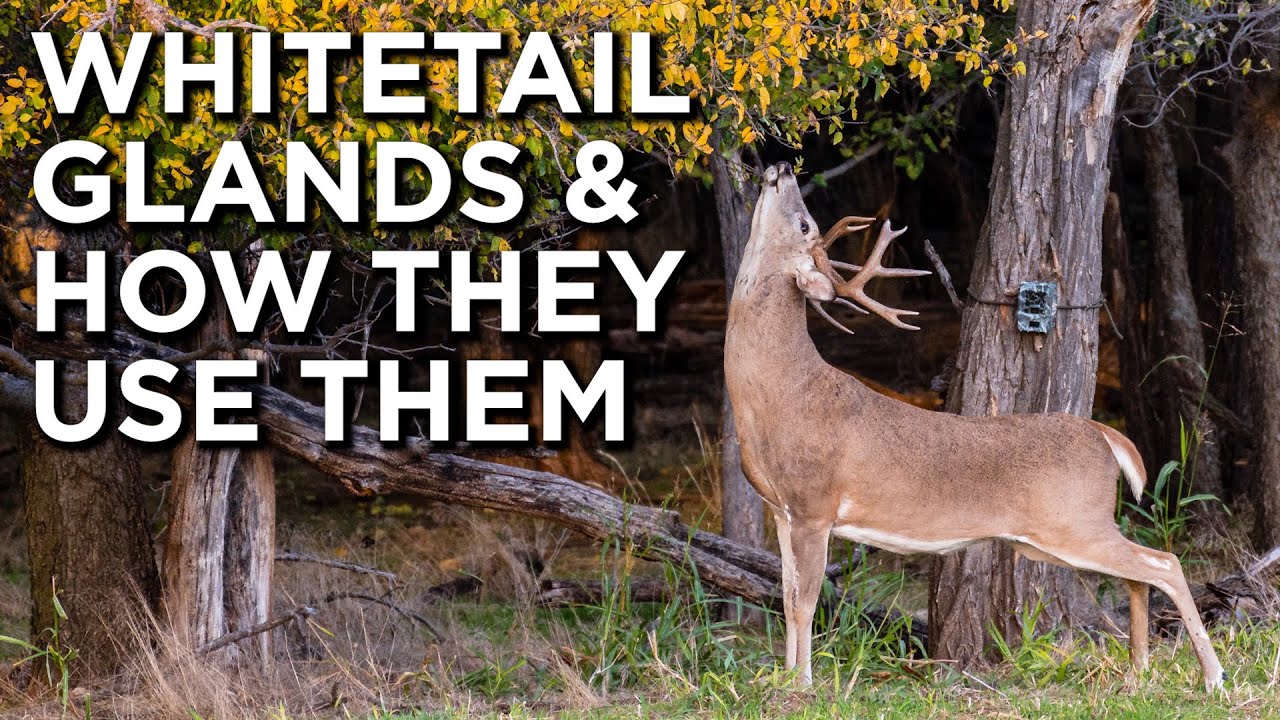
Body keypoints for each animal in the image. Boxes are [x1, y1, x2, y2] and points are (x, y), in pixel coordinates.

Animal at [723, 161, 1225, 692]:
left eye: (804, 224)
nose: (781, 167)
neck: (784, 394)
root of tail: (1103, 435)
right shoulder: (781, 509)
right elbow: (785, 598)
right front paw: (782, 680)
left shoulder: (815, 505)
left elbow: (805, 603)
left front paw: (803, 686)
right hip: (1063, 532)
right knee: (1140, 574)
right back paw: (1138, 669)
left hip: (1076, 520)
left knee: (1166, 562)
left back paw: (1212, 676)